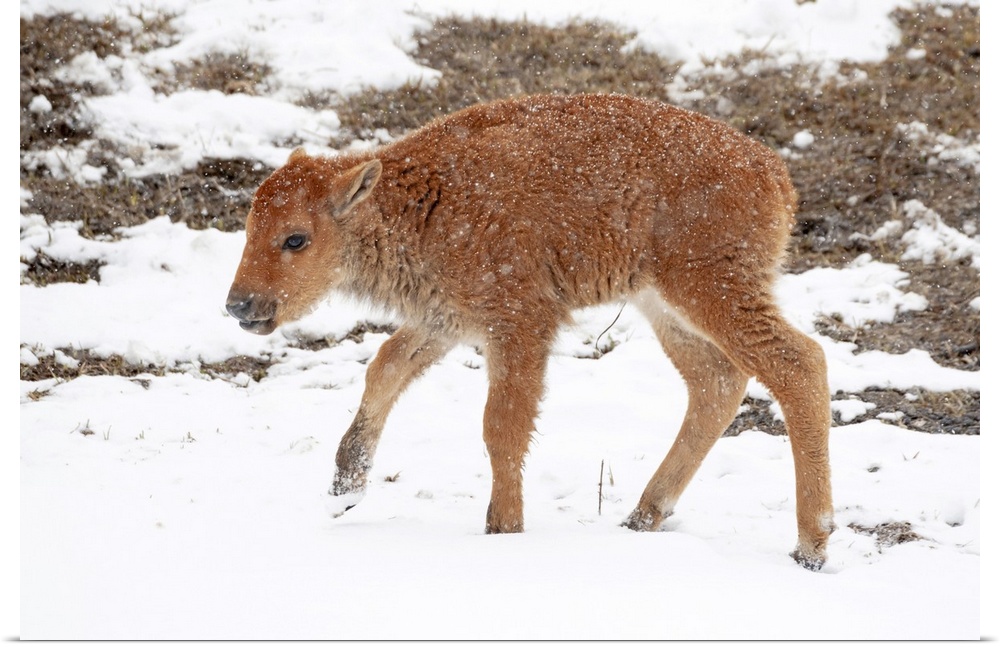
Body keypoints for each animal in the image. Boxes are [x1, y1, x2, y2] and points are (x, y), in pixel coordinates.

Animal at [229, 93, 836, 568]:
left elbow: (502, 426)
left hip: (711, 290)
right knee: (716, 383)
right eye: (249, 226)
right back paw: (642, 516)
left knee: (797, 364)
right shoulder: (446, 319)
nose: (239, 304)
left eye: (296, 238)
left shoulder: (518, 323)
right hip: (664, 307)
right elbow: (385, 368)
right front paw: (345, 488)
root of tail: (774, 174)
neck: (421, 200)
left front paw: (502, 530)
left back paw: (811, 544)